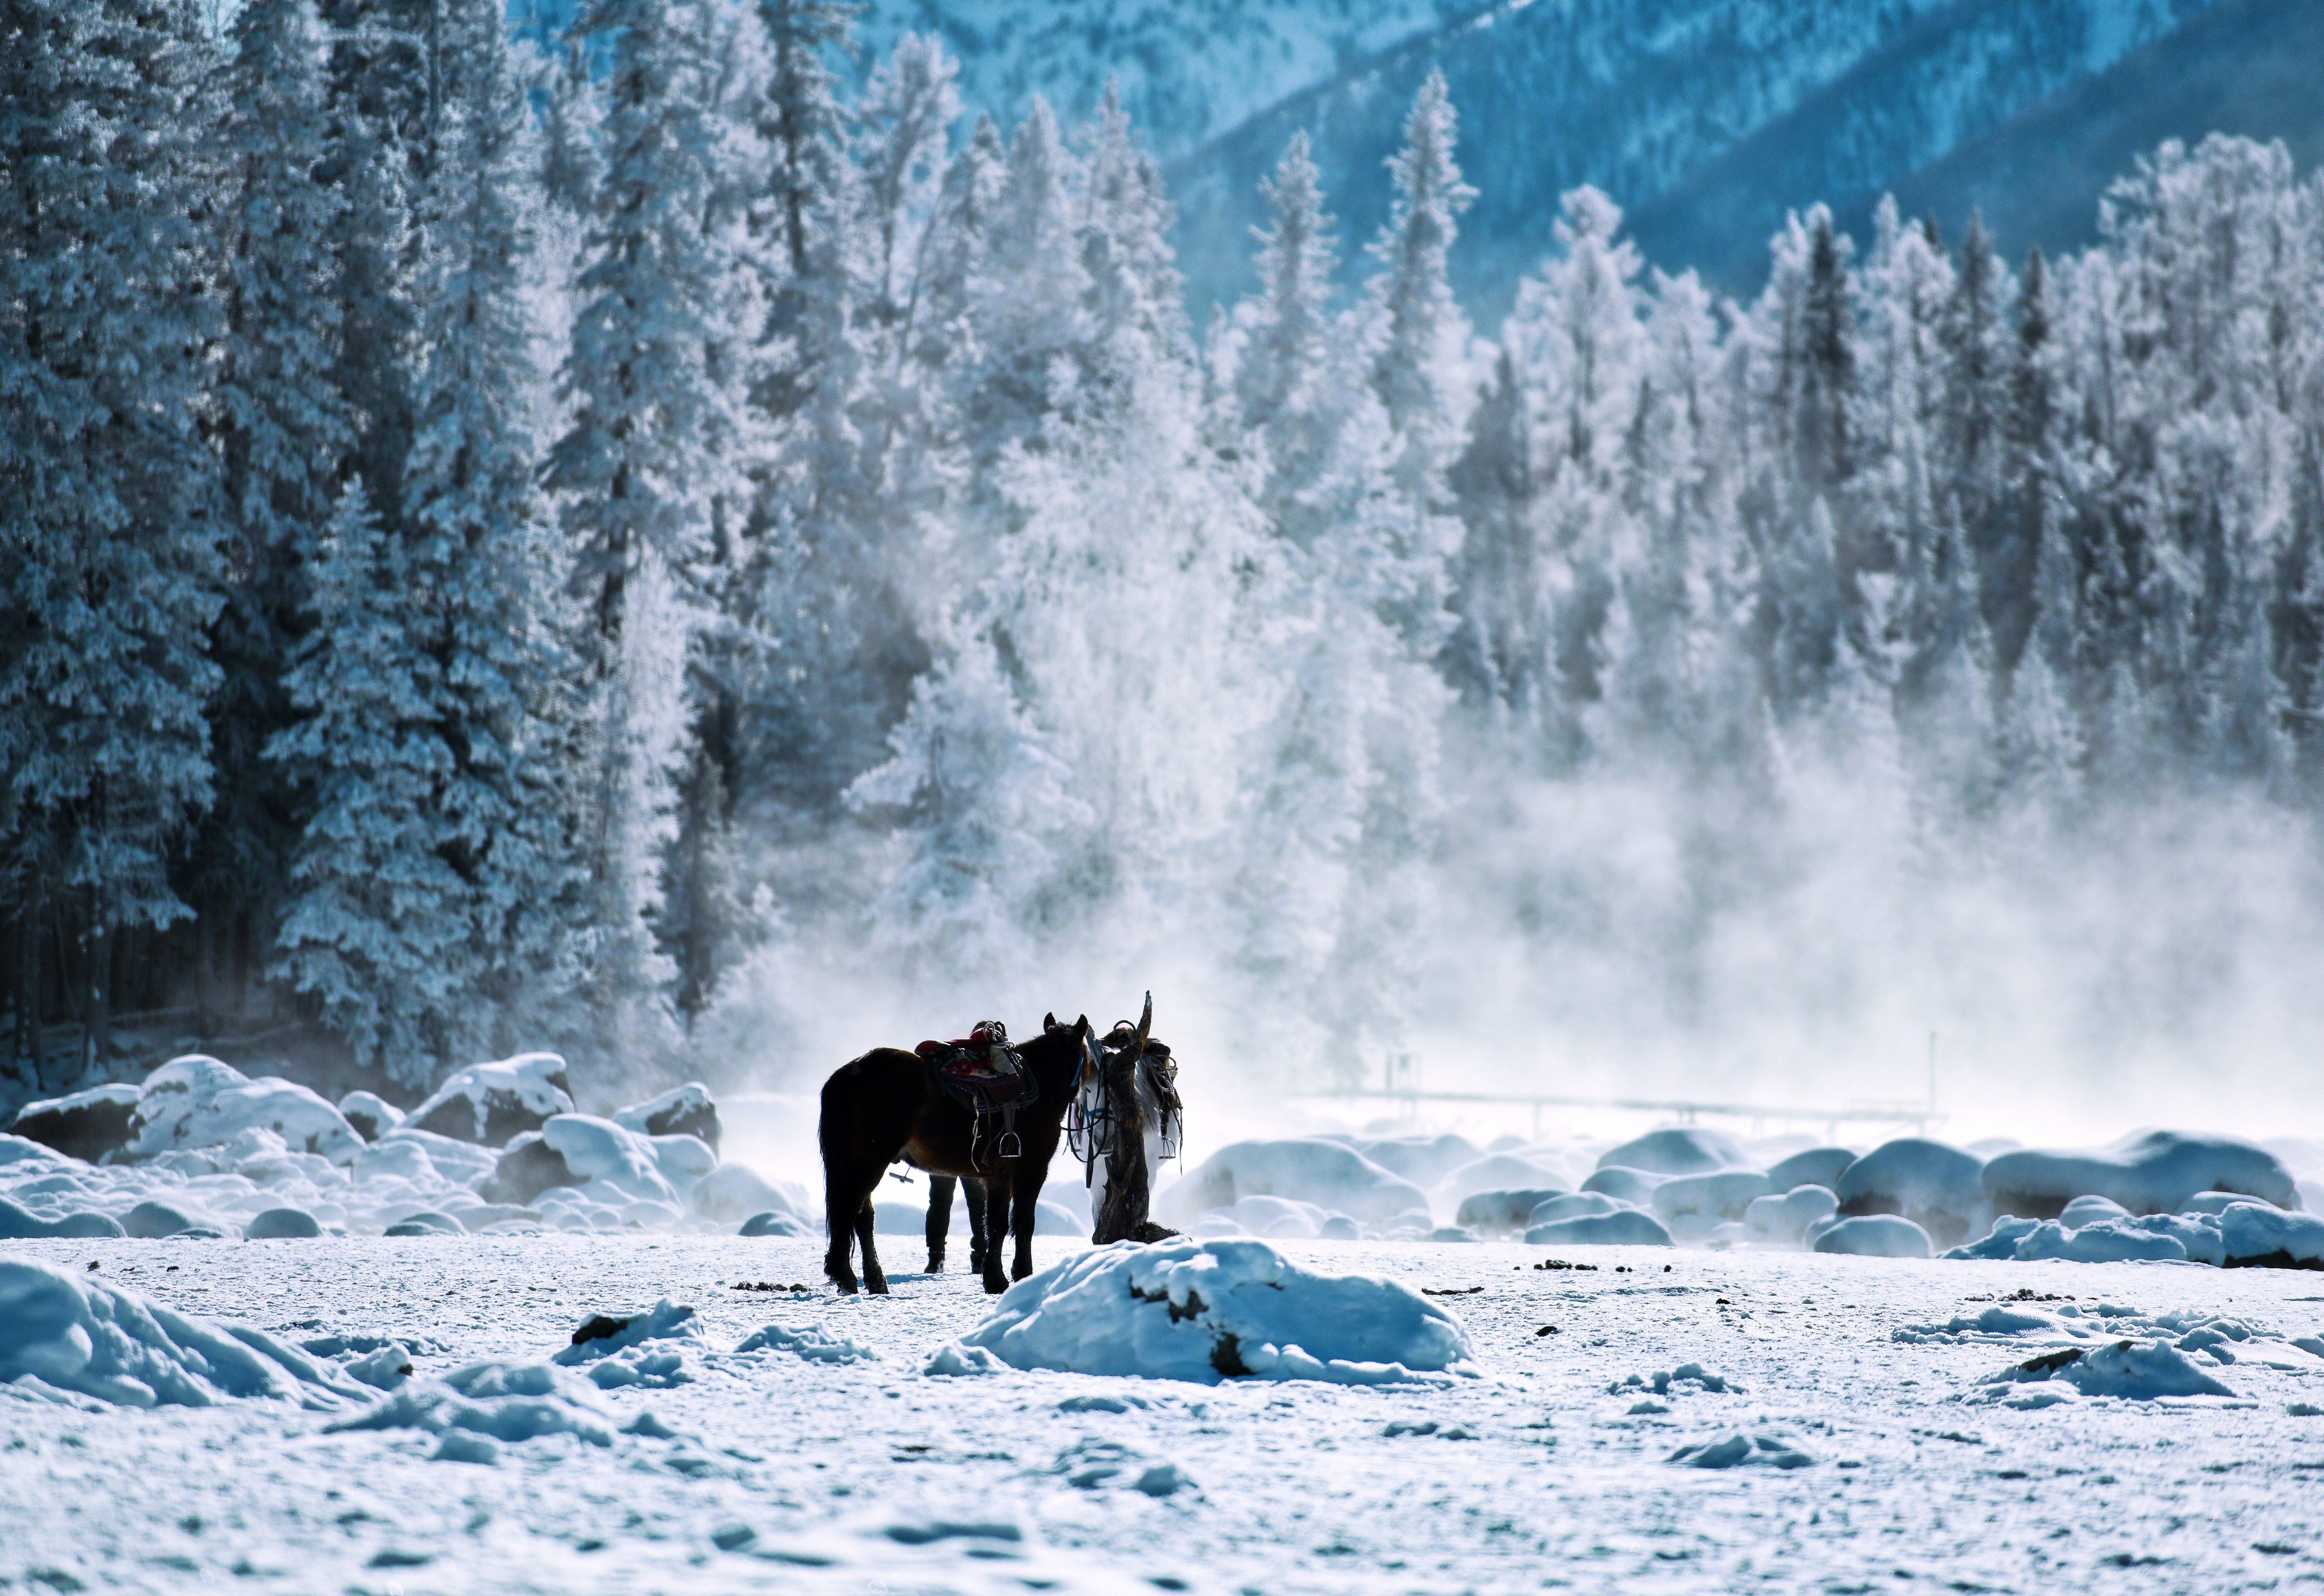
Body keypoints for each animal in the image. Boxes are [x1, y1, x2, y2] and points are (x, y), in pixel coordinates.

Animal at [822, 1013, 1129, 1301]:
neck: (1042, 1084)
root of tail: (850, 1073)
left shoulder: (997, 1178)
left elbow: (995, 1224)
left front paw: (995, 1277)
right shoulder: (1030, 1171)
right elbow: (1021, 1223)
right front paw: (1017, 1275)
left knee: (863, 1219)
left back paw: (875, 1280)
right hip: (868, 1163)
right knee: (847, 1211)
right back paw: (845, 1276)